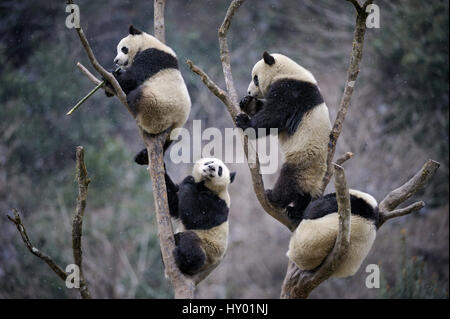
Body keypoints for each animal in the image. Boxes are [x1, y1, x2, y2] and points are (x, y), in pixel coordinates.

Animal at [104, 25, 192, 165]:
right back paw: (142, 157)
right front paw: (109, 87)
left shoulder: (152, 57)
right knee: (166, 145)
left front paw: (109, 76)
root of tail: (175, 122)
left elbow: (133, 78)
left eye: (123, 49)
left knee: (138, 96)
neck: (147, 43)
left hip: (158, 107)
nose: (116, 61)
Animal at [237, 52, 332, 222]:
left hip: (303, 158)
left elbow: (274, 116)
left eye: (255, 78)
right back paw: (297, 211)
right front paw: (248, 103)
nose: (248, 92)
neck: (288, 72)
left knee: (289, 180)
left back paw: (273, 197)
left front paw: (244, 122)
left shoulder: (291, 91)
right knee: (304, 195)